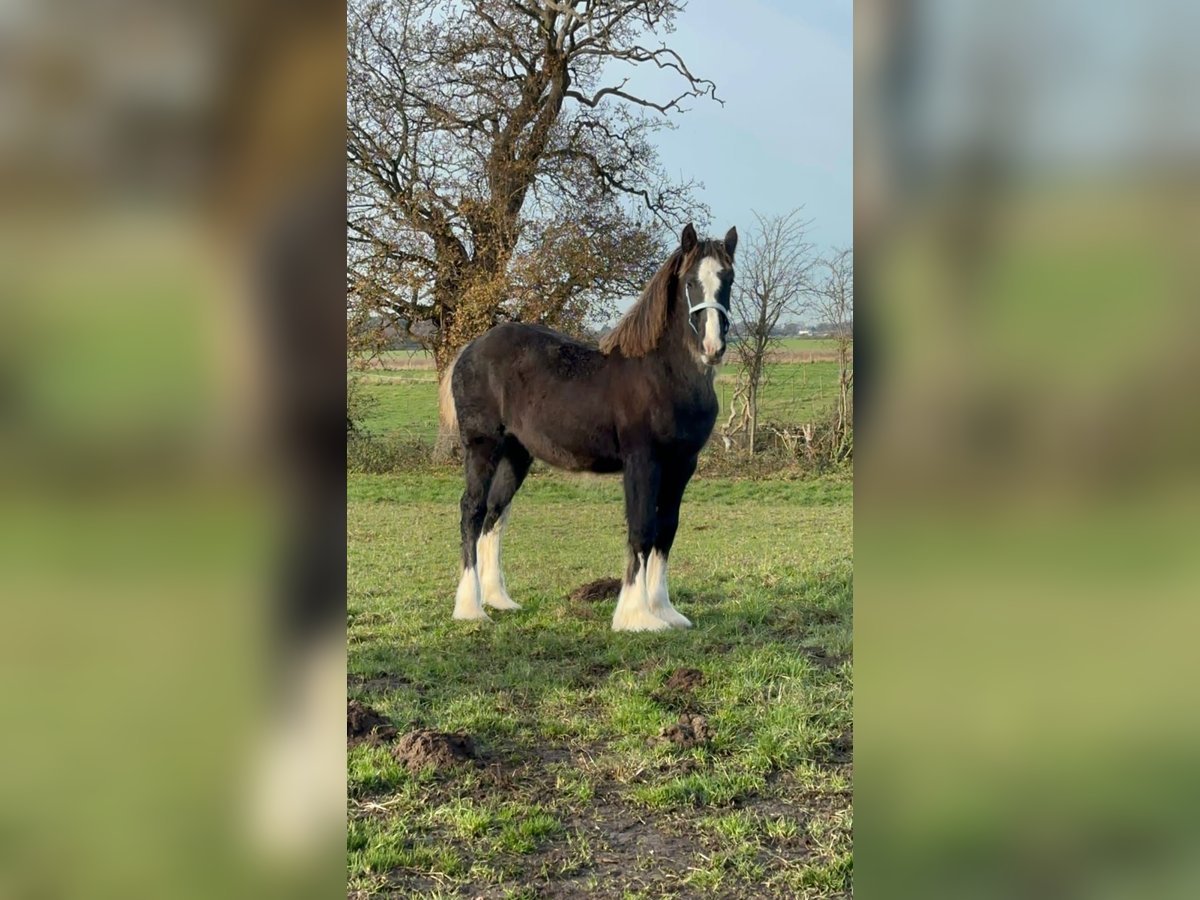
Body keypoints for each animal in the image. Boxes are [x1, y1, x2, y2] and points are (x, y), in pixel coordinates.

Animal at [439, 224, 734, 633]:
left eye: (728, 279)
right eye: (691, 282)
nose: (713, 346)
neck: (663, 375)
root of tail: (469, 349)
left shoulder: (681, 466)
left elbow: (666, 530)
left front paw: (664, 610)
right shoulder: (642, 462)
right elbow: (641, 528)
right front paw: (635, 616)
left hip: (516, 453)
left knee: (496, 513)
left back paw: (498, 599)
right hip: (483, 446)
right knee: (473, 509)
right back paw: (471, 608)